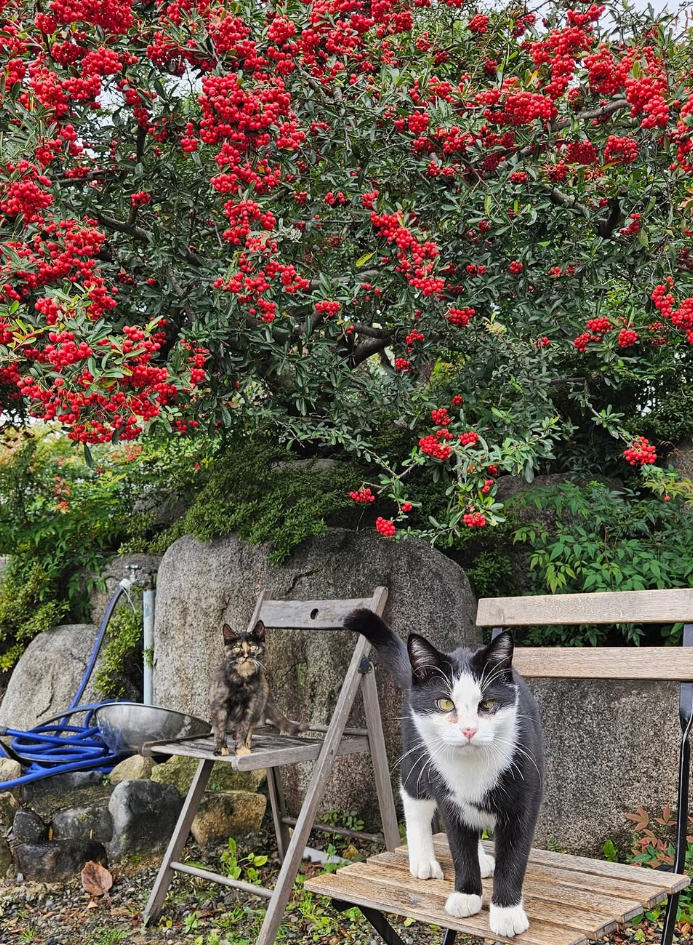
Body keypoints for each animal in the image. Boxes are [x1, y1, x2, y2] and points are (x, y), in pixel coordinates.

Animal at [209, 620, 304, 752]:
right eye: (237, 648)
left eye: (253, 647)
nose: (246, 655)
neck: (242, 680)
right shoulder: (219, 705)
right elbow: (220, 728)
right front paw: (221, 749)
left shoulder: (248, 707)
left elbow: (243, 728)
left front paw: (241, 749)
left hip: (258, 707)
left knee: (251, 727)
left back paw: (246, 743)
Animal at [344, 608, 544, 940]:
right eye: (444, 703)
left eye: (488, 704)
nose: (468, 729)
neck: (471, 766)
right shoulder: (447, 796)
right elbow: (457, 843)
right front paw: (466, 895)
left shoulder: (525, 796)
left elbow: (513, 856)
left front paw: (506, 912)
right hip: (416, 755)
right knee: (414, 802)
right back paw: (423, 860)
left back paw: (483, 860)